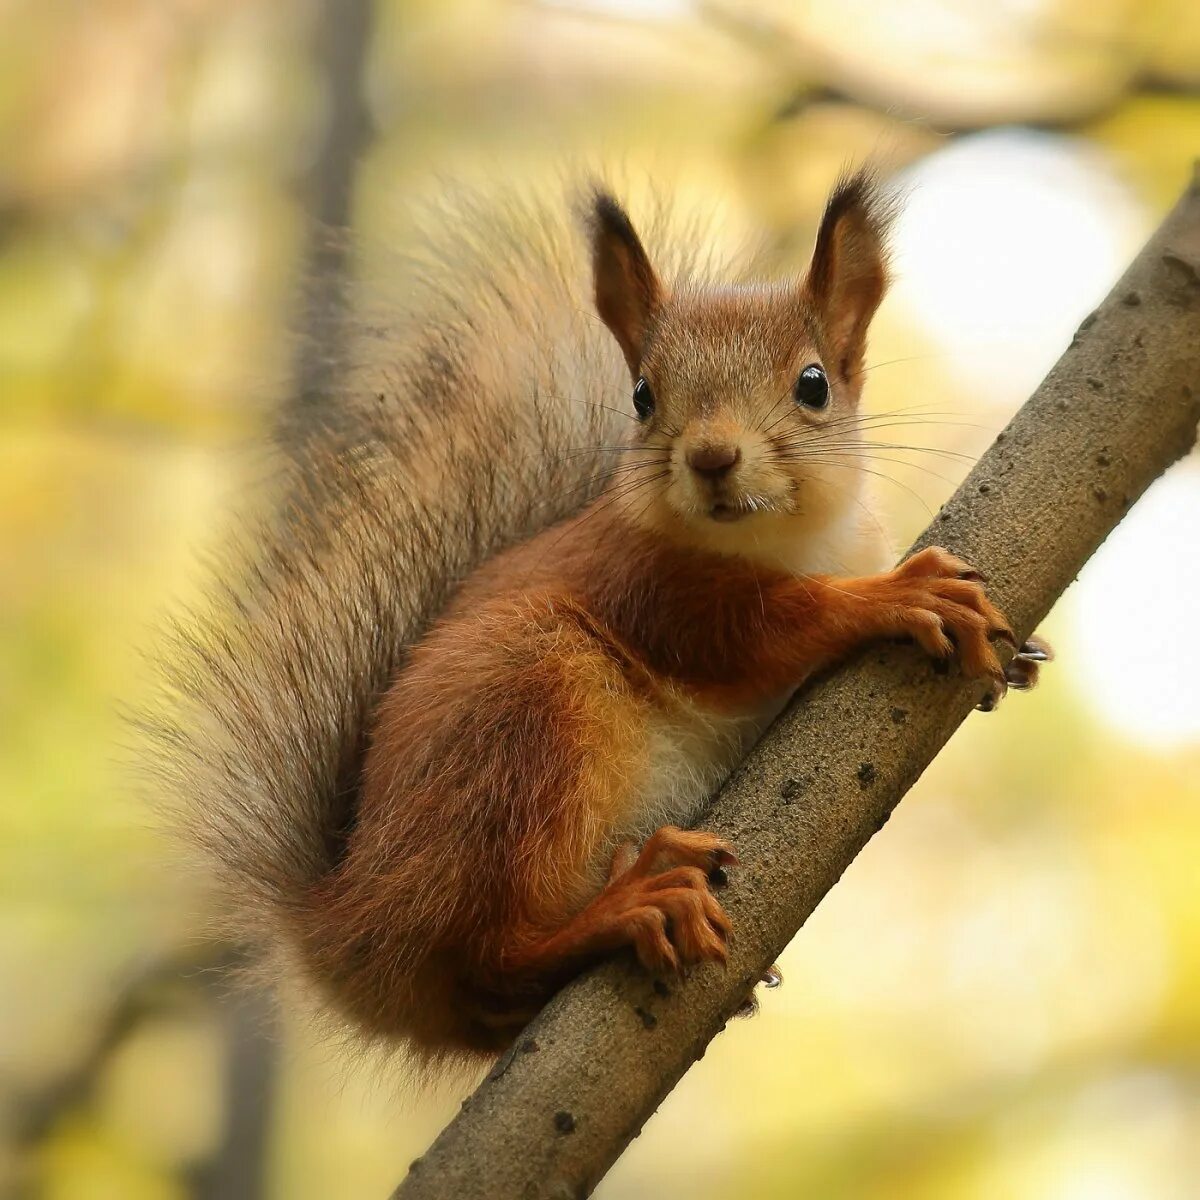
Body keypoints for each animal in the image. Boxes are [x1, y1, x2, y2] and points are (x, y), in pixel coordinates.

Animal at [152, 166, 1051, 1070]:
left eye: (813, 384)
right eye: (643, 397)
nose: (712, 457)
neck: (796, 540)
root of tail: (350, 932)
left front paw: (1016, 655)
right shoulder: (652, 592)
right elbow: (758, 635)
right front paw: (897, 596)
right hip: (525, 719)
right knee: (496, 952)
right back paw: (626, 904)